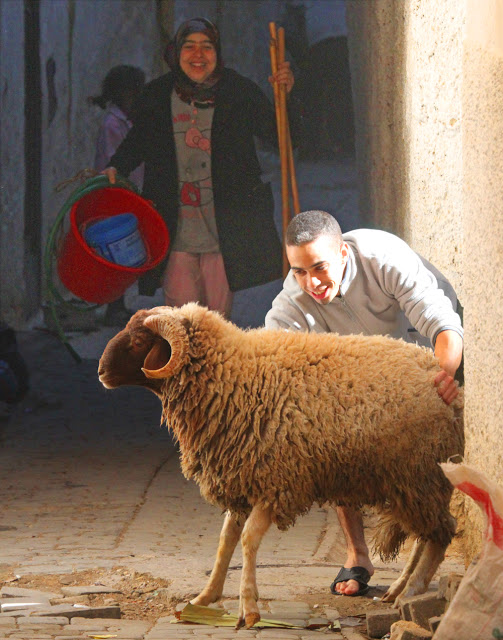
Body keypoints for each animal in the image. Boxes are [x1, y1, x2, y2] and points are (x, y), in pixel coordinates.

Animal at [98, 302, 464, 628]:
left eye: (139, 341)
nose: (100, 371)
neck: (235, 376)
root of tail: (444, 379)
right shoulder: (243, 479)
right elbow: (225, 541)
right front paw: (205, 598)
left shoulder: (276, 482)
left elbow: (247, 540)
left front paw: (248, 609)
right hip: (409, 481)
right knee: (425, 535)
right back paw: (399, 588)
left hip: (419, 474)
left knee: (442, 532)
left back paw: (412, 591)